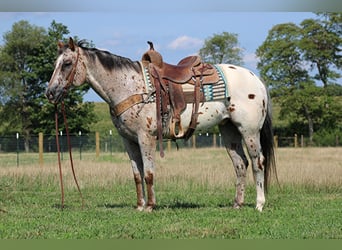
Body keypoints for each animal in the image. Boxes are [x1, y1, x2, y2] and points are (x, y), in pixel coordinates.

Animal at [46, 38, 276, 212]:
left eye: (67, 64)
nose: (50, 93)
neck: (130, 86)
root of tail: (256, 80)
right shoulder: (128, 141)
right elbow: (137, 175)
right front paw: (139, 206)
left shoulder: (145, 138)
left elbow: (148, 173)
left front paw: (150, 206)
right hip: (229, 131)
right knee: (240, 164)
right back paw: (237, 204)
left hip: (249, 131)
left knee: (258, 162)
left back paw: (259, 204)